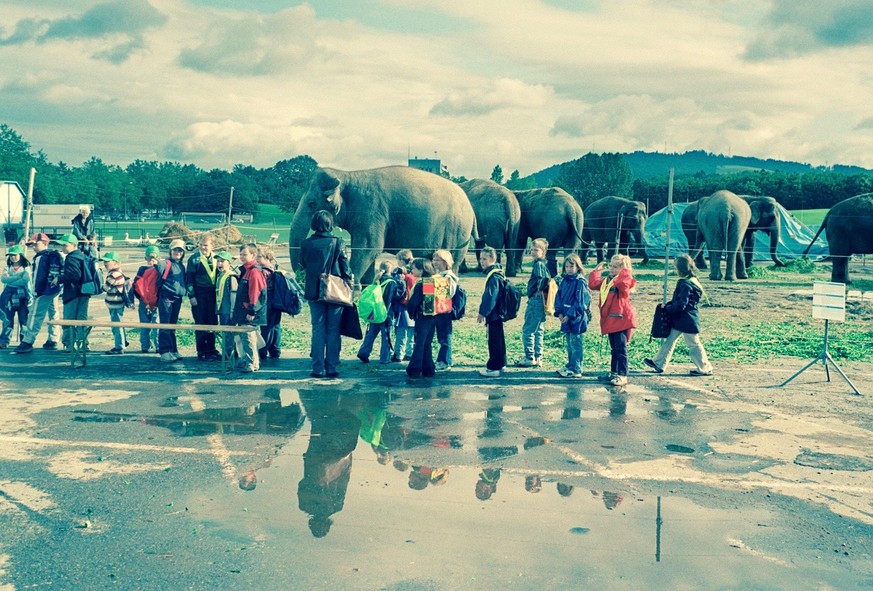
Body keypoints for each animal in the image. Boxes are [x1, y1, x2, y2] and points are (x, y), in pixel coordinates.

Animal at [290, 165, 474, 286]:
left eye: (311, 203)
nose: (301, 280)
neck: (347, 175)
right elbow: (368, 252)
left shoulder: (371, 209)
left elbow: (368, 248)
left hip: (458, 231)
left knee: (452, 261)